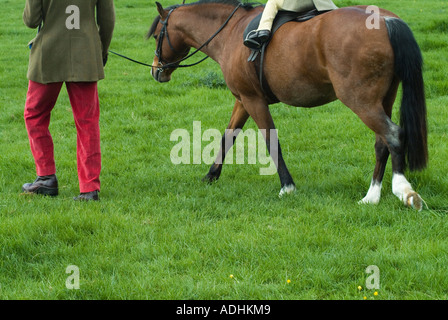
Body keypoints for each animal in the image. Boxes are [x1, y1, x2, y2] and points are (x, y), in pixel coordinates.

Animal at [147, 0, 428, 211]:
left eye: (158, 36)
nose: (156, 70)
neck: (232, 31)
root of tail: (386, 20)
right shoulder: (243, 99)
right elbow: (228, 137)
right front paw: (211, 176)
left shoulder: (253, 100)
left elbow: (271, 140)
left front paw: (287, 186)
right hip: (383, 99)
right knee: (382, 142)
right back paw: (372, 196)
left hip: (361, 101)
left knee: (393, 134)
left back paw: (402, 189)